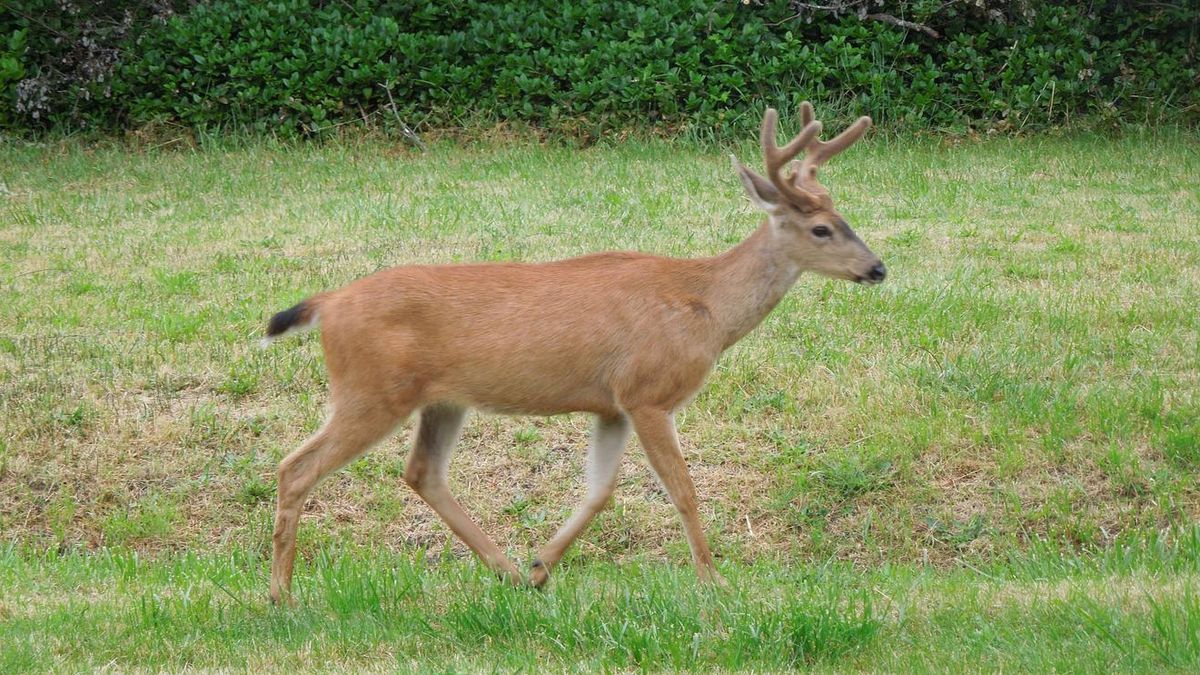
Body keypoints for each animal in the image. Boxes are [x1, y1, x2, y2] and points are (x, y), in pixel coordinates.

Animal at [263, 103, 885, 604]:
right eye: (822, 229)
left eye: (845, 219)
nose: (877, 268)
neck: (705, 307)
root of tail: (328, 303)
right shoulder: (648, 390)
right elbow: (682, 491)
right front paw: (715, 583)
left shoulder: (611, 404)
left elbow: (600, 492)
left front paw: (542, 566)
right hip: (370, 389)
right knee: (296, 467)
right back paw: (282, 596)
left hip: (441, 399)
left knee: (423, 472)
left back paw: (509, 573)